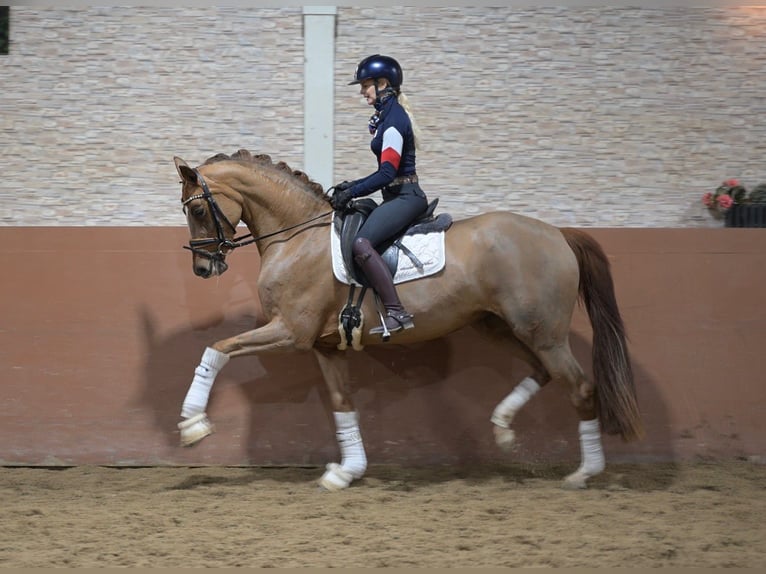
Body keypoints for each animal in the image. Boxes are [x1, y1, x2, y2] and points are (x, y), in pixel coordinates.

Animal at [173, 149, 643, 491]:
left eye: (197, 212)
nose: (204, 268)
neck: (296, 237)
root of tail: (558, 234)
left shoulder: (291, 333)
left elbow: (217, 349)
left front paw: (193, 423)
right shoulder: (324, 346)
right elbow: (343, 405)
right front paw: (347, 471)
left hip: (543, 333)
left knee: (580, 387)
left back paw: (583, 473)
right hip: (497, 326)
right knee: (541, 372)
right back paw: (504, 427)